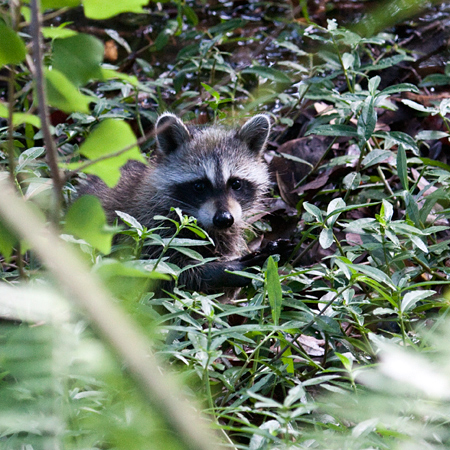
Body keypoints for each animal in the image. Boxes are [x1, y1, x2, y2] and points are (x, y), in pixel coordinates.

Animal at [77, 113, 282, 292]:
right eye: (199, 186)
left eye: (236, 183)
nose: (224, 219)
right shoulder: (149, 226)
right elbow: (166, 272)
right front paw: (223, 271)